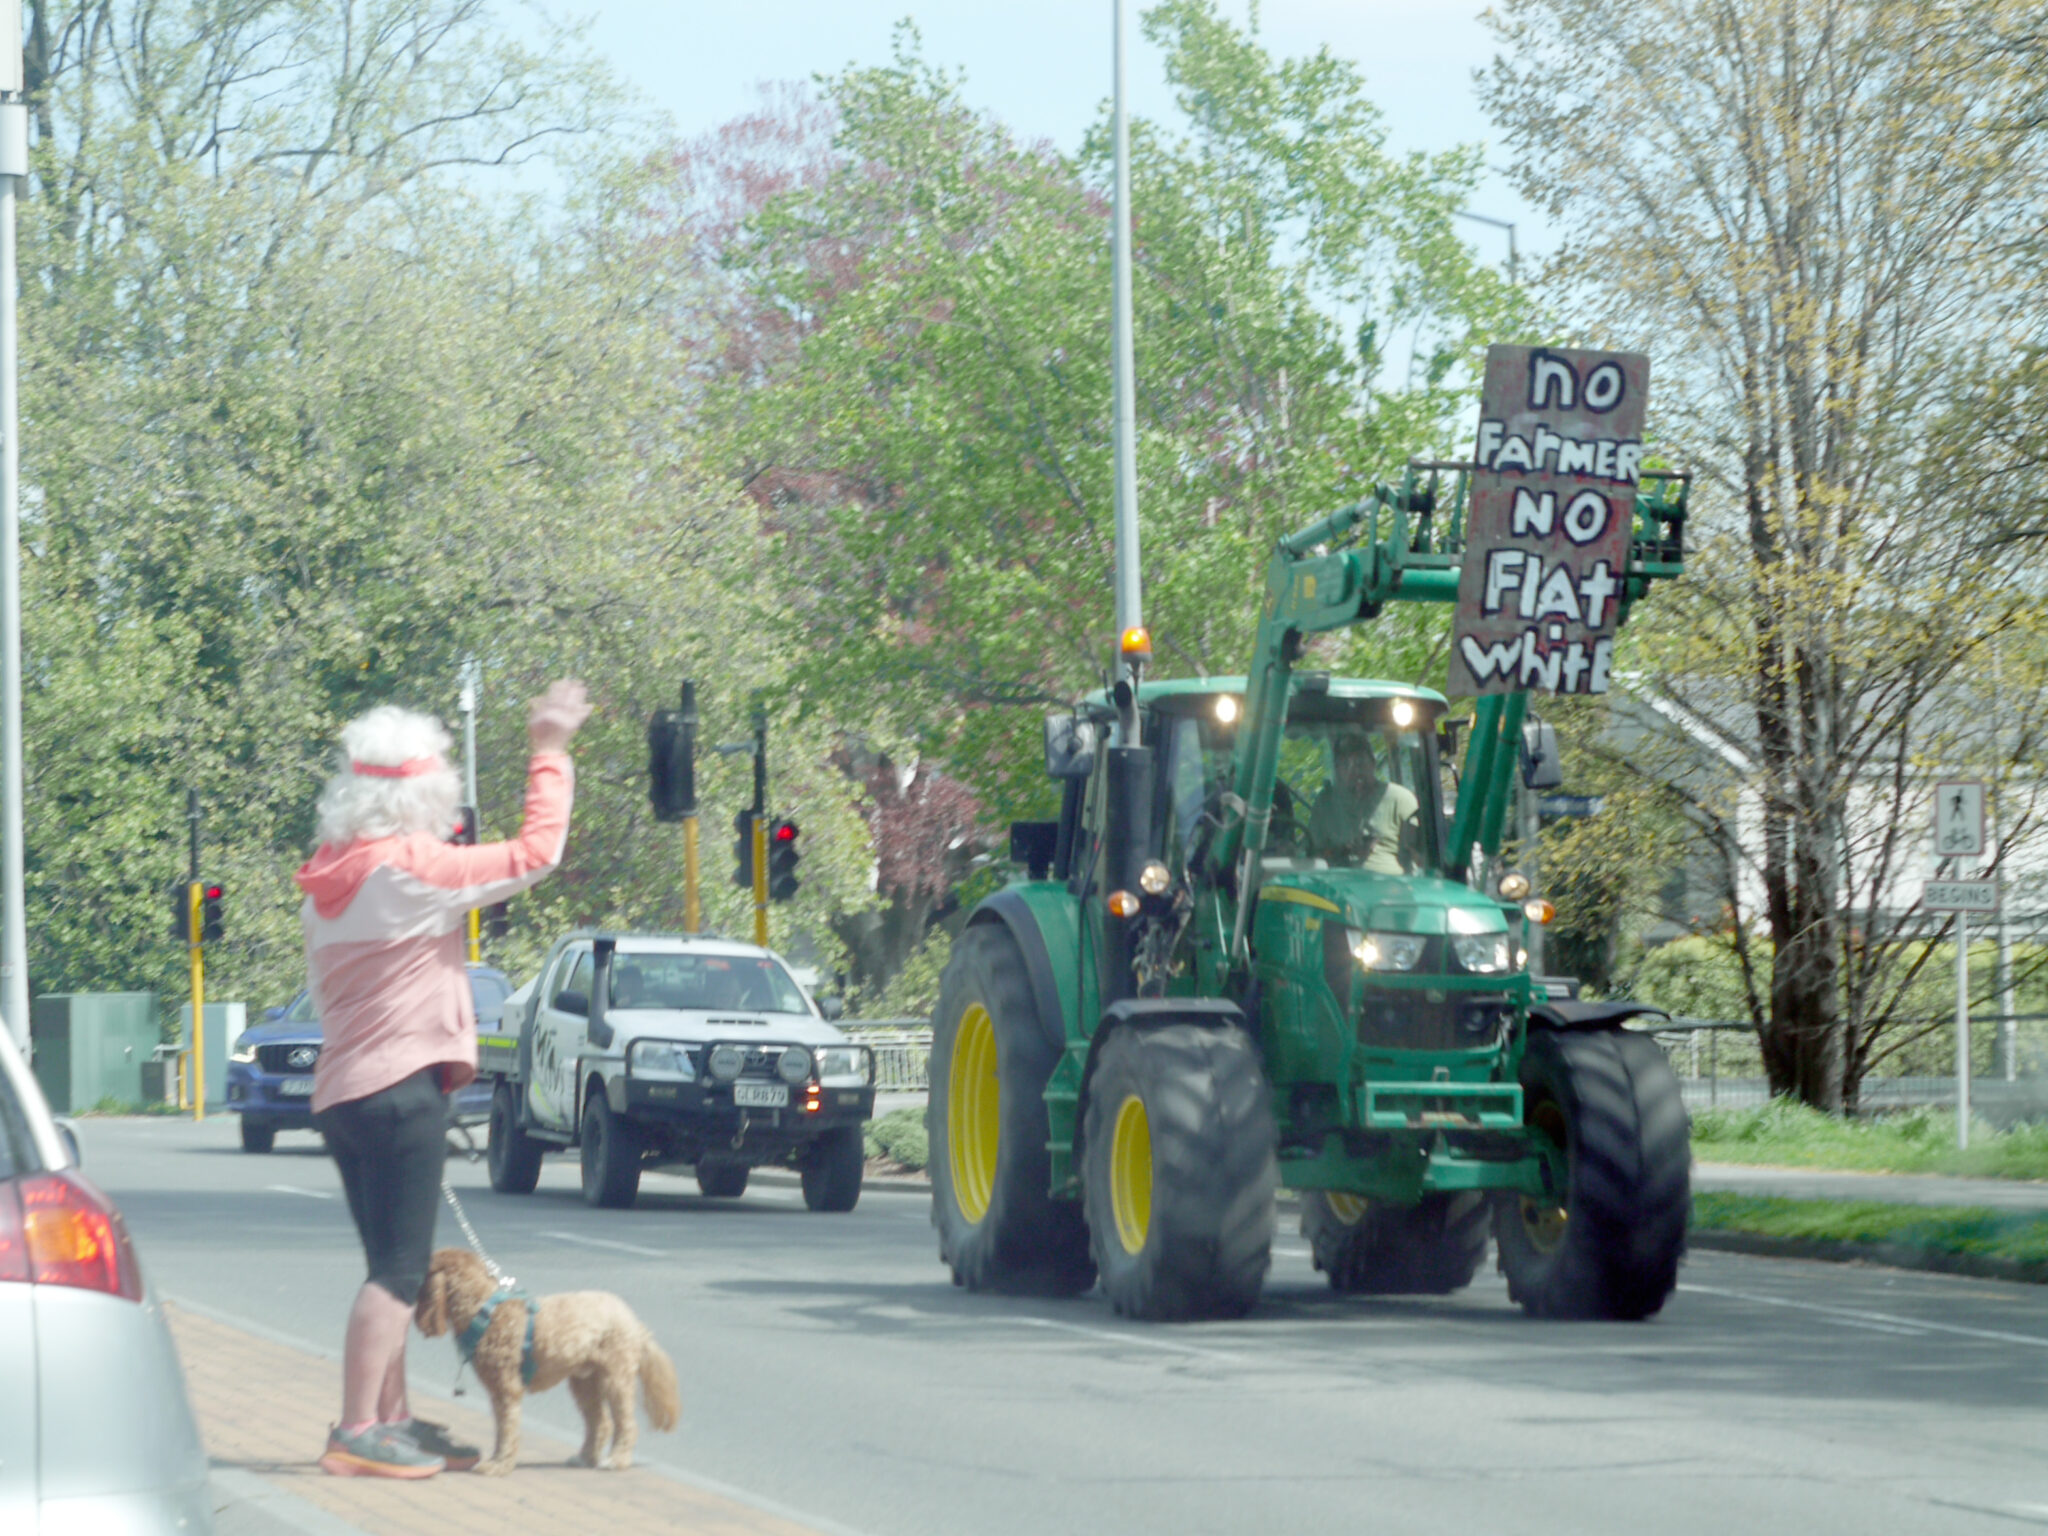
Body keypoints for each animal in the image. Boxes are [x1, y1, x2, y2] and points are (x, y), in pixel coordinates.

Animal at [413, 1253, 679, 1482]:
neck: (483, 1310)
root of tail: (633, 1320)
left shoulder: (506, 1389)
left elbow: (507, 1429)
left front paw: (500, 1464)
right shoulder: (498, 1391)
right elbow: (502, 1429)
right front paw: (499, 1460)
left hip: (616, 1377)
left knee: (626, 1424)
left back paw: (617, 1459)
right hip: (584, 1382)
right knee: (601, 1423)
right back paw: (586, 1457)